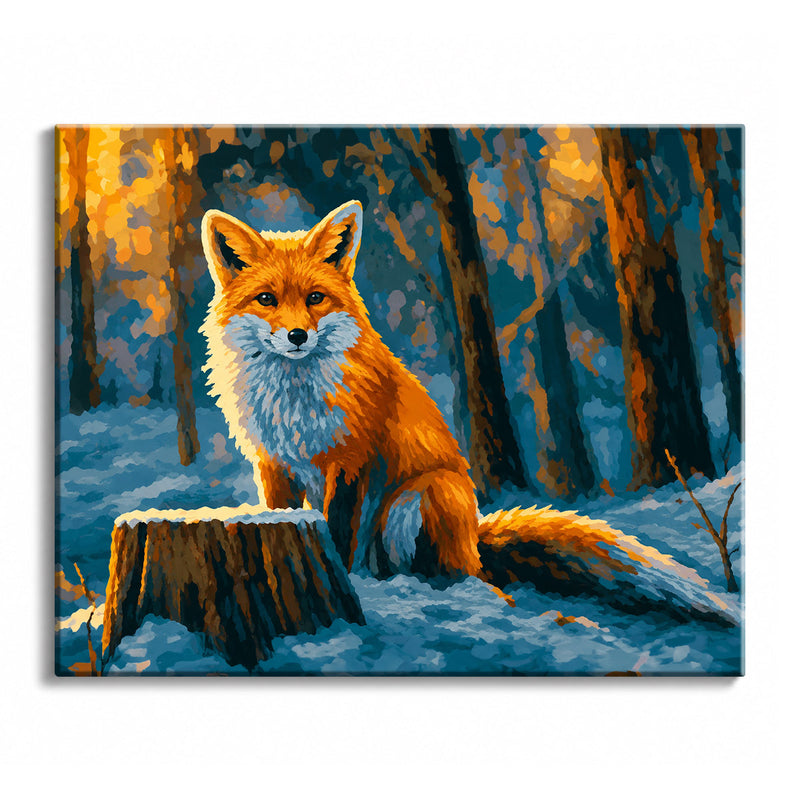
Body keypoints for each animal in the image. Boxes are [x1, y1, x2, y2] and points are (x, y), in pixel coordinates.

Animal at [200, 200, 738, 626]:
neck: (294, 399)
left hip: (422, 497)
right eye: (267, 299)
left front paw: (350, 584)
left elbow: (338, 531)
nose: (297, 336)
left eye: (315, 298)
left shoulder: (349, 461)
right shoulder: (274, 465)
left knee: (465, 577)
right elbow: (287, 515)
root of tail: (476, 540)